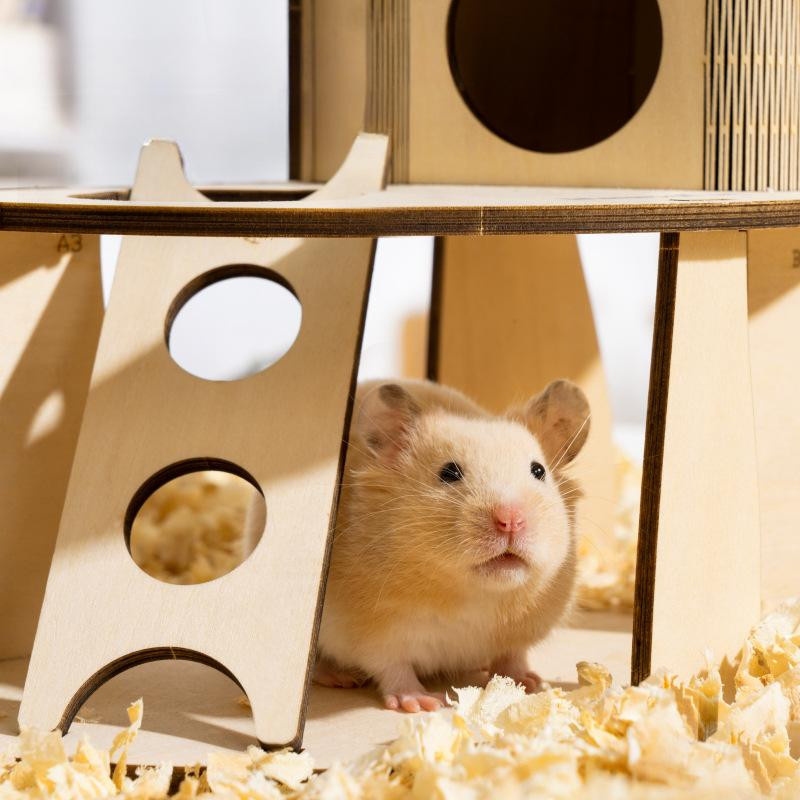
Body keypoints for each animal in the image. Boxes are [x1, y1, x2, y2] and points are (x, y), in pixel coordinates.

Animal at [313, 378, 590, 713]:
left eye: (539, 471)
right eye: (449, 473)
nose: (511, 521)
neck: (475, 595)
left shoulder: (521, 631)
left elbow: (512, 655)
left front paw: (528, 683)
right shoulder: (371, 633)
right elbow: (393, 667)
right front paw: (421, 703)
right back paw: (338, 676)